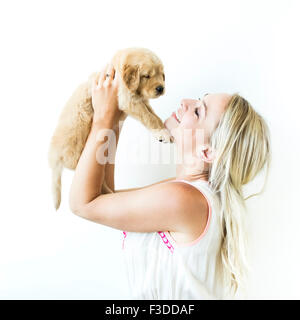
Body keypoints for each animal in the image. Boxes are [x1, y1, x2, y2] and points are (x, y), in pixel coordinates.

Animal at [47, 47, 171, 210]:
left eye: (161, 74)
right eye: (146, 76)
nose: (160, 88)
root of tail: (54, 158)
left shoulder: (141, 100)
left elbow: (154, 115)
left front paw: (163, 129)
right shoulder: (128, 100)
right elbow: (148, 117)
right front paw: (162, 133)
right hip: (76, 146)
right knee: (80, 170)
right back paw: (107, 192)